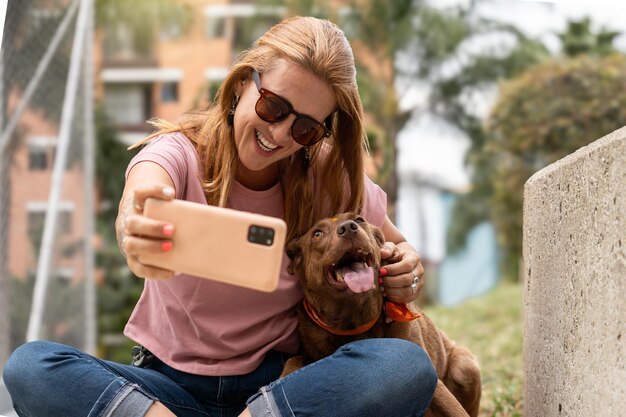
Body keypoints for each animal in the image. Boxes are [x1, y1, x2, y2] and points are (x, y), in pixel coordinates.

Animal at [286, 213, 480, 416]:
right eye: (317, 234)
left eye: (359, 219)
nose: (348, 228)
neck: (354, 319)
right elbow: (293, 361)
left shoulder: (434, 380)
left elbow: (456, 410)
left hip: (464, 367)